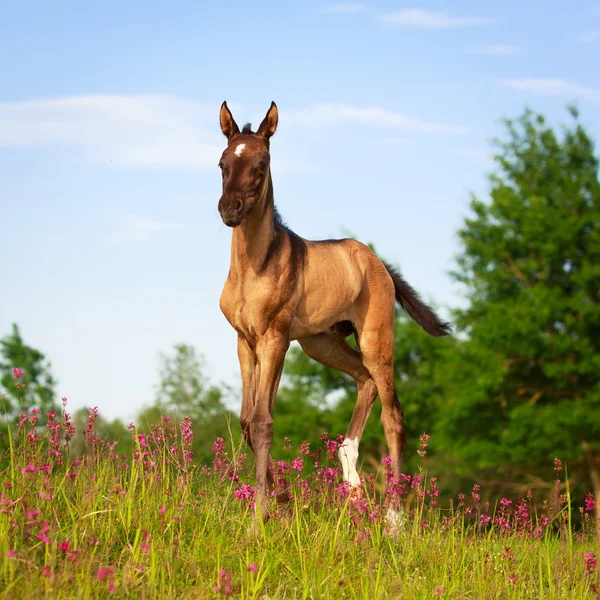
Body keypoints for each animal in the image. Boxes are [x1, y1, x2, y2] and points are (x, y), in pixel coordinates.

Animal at [217, 101, 450, 524]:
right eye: (223, 162)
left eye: (262, 164)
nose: (230, 210)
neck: (254, 266)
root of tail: (378, 263)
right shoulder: (246, 341)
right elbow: (248, 420)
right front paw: (283, 503)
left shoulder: (275, 338)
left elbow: (262, 422)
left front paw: (260, 518)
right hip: (320, 344)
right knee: (365, 381)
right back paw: (354, 487)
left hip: (375, 340)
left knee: (394, 418)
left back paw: (393, 519)